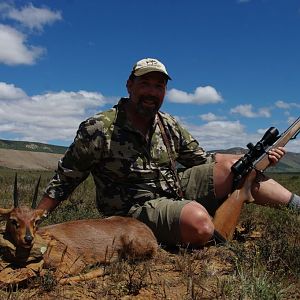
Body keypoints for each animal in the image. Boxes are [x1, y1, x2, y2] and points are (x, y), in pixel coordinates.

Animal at [0, 173, 158, 284]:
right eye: (13, 220)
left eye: (36, 221)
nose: (28, 239)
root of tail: (151, 235)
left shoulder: (74, 261)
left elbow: (56, 277)